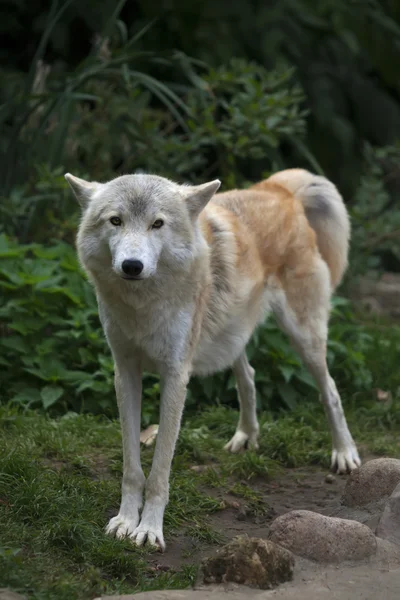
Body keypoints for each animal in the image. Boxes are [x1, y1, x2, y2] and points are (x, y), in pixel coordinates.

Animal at [65, 166, 360, 552]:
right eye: (116, 220)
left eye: (157, 224)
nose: (132, 266)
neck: (142, 306)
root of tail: (276, 187)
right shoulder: (125, 372)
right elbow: (131, 466)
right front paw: (126, 522)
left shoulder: (176, 377)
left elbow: (159, 470)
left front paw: (149, 530)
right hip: (231, 338)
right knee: (249, 376)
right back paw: (245, 437)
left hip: (303, 338)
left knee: (331, 390)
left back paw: (344, 453)